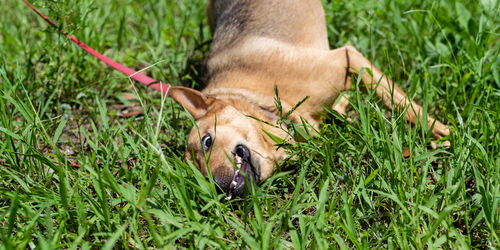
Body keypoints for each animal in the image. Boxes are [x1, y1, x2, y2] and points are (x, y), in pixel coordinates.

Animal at [166, 0, 452, 199]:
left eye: (207, 141)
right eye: (197, 172)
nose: (215, 188)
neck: (267, 103)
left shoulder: (346, 58)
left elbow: (401, 102)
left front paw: (441, 132)